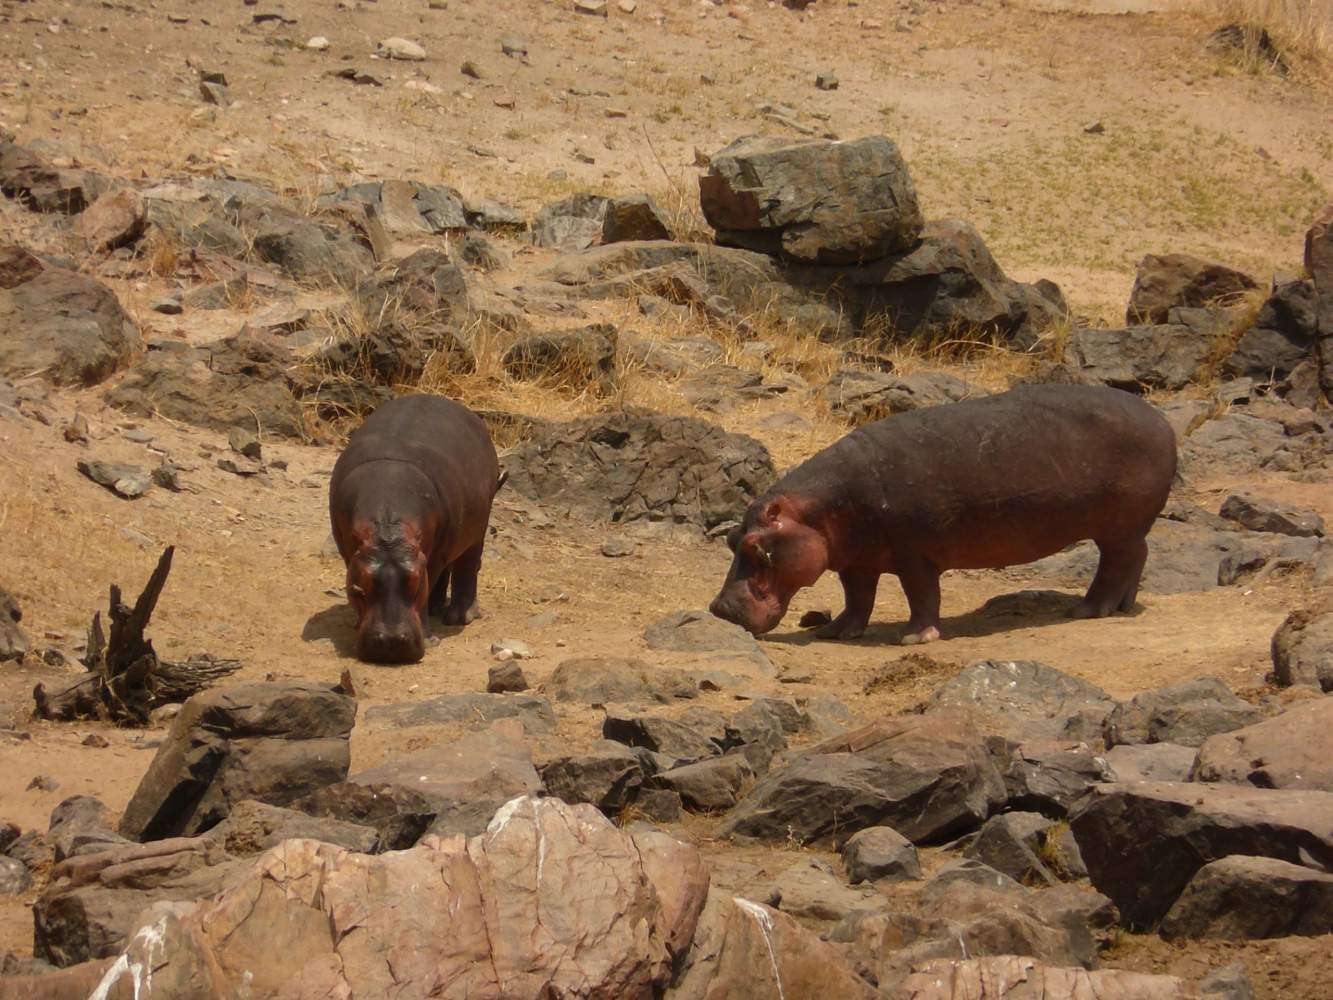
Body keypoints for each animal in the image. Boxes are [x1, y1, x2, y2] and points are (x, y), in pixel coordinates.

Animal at [329, 394, 503, 666]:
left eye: (417, 583)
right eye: (358, 587)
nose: (391, 644)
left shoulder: (431, 559)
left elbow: (433, 580)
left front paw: (431, 639)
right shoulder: (351, 553)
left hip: (477, 530)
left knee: (467, 566)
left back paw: (458, 616)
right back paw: (436, 608)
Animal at [709, 384, 1178, 642]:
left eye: (756, 547)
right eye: (731, 539)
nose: (719, 610)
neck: (817, 511)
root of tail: (1161, 420)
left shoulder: (916, 554)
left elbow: (922, 594)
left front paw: (915, 638)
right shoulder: (855, 560)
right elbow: (857, 597)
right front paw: (836, 631)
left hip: (1119, 527)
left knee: (1117, 563)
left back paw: (1088, 610)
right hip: (1126, 530)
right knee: (1138, 557)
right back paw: (1121, 606)